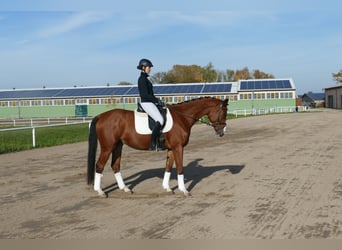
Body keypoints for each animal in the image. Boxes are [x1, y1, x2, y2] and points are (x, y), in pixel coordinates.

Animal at [87, 96, 228, 196]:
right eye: (223, 112)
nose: (222, 132)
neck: (182, 117)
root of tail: (101, 116)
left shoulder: (171, 148)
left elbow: (168, 167)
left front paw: (167, 188)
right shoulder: (178, 147)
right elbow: (180, 168)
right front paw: (184, 190)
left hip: (118, 146)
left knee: (115, 165)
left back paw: (125, 189)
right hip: (107, 147)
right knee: (99, 165)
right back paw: (100, 191)